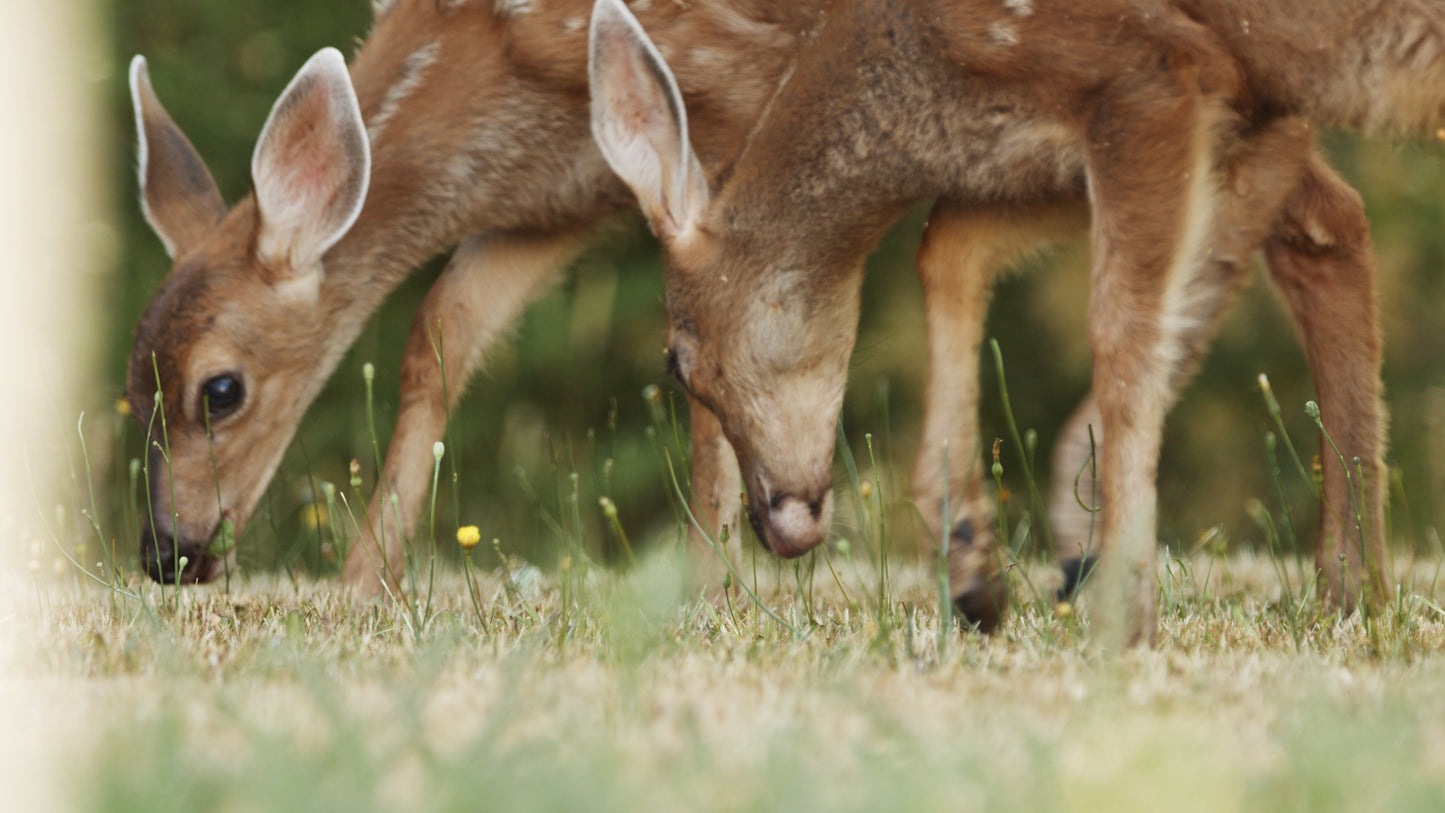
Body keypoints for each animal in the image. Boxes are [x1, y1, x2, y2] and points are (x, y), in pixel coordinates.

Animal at [583, 0, 1398, 638]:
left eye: (679, 363)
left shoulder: (1155, 76)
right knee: (1332, 222)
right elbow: (948, 245)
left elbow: (1126, 323)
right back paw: (1352, 592)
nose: (773, 527)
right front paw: (977, 559)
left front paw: (1119, 610)